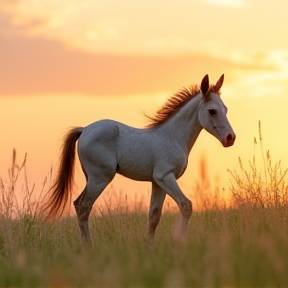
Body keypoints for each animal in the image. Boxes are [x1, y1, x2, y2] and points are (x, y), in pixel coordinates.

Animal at [43, 73, 236, 243]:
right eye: (211, 111)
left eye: (226, 109)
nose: (230, 138)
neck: (173, 136)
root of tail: (84, 130)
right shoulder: (165, 176)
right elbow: (186, 205)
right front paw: (179, 241)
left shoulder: (157, 182)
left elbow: (154, 216)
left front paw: (150, 246)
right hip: (100, 178)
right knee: (84, 207)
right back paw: (88, 246)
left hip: (91, 178)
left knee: (78, 204)